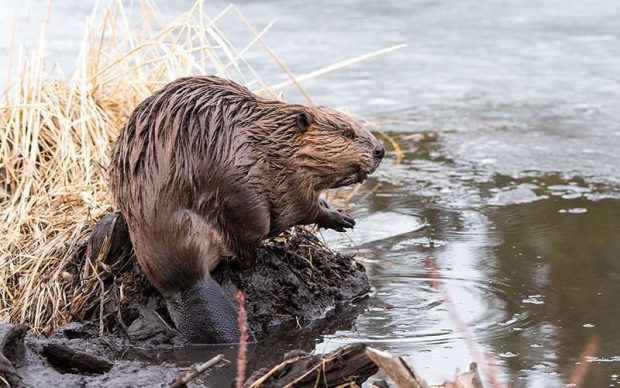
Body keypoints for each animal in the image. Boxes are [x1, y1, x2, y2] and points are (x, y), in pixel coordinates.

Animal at [109, 76, 386, 342]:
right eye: (348, 133)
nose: (380, 150)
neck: (274, 138)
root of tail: (186, 283)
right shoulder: (287, 179)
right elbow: (302, 207)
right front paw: (341, 218)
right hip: (243, 202)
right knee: (245, 249)